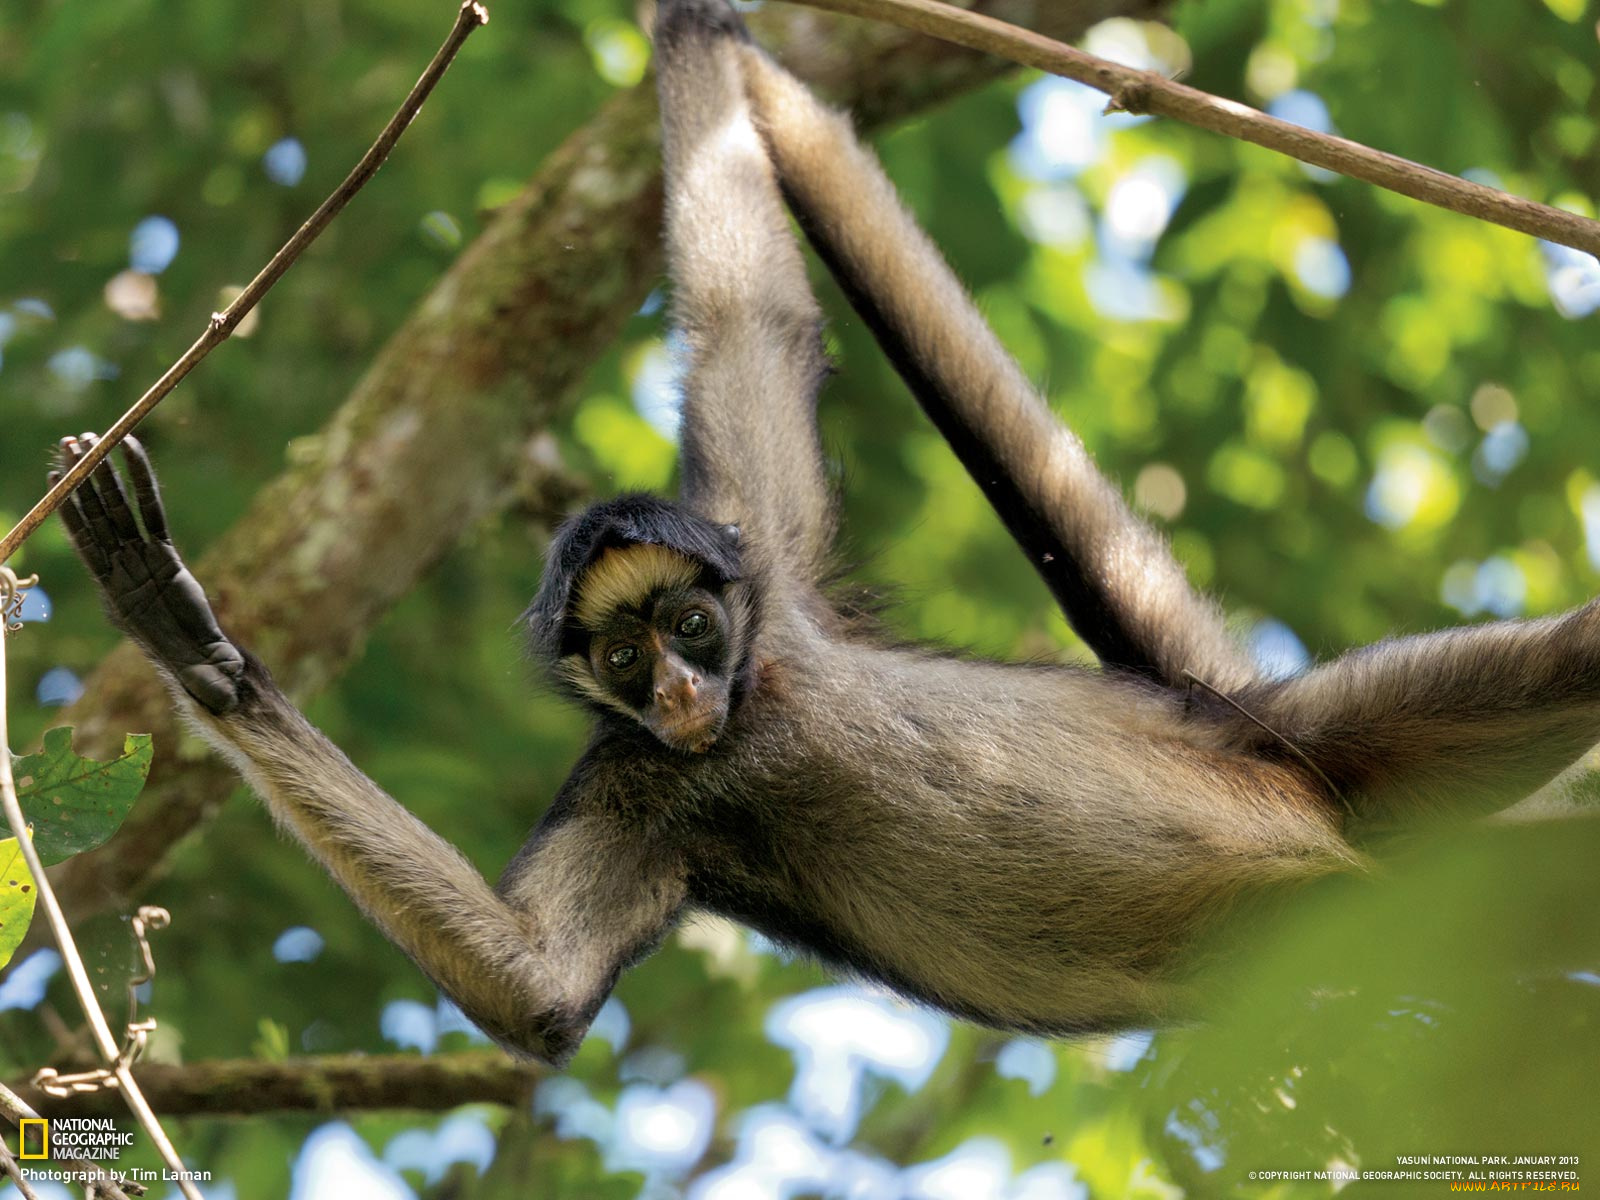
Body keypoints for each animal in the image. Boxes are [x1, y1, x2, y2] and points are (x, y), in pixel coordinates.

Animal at [53, 0, 1600, 1068]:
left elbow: (758, 314)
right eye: (625, 664)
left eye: (691, 626)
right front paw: (198, 655)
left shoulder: (769, 568)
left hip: (1332, 749)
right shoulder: (640, 780)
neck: (758, 710)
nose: (682, 692)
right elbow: (535, 988)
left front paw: (688, 21)